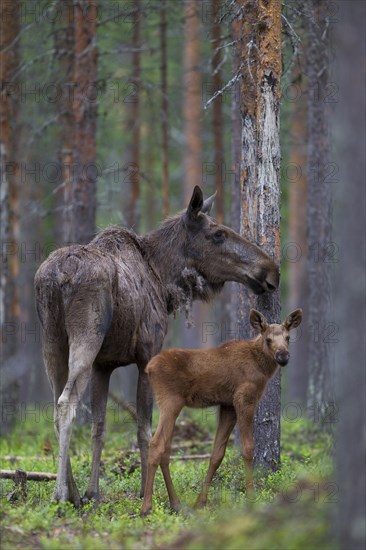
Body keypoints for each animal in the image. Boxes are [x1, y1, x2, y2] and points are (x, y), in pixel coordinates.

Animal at [35, 188, 278, 506]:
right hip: (85, 336)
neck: (164, 280)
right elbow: (144, 428)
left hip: (51, 342)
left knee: (54, 406)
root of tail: (59, 277)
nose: (271, 270)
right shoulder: (147, 354)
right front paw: (144, 492)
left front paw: (93, 492)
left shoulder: (104, 364)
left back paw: (74, 492)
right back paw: (61, 493)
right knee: (66, 403)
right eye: (218, 234)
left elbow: (99, 428)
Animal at [140, 310, 300, 516]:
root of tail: (149, 367)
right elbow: (248, 448)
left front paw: (200, 501)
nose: (283, 356)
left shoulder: (227, 406)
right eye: (269, 339)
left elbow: (217, 454)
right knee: (156, 444)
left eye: (288, 337)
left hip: (171, 405)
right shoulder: (243, 399)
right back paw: (146, 507)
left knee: (166, 449)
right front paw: (251, 497)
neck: (262, 368)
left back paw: (175, 503)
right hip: (170, 401)